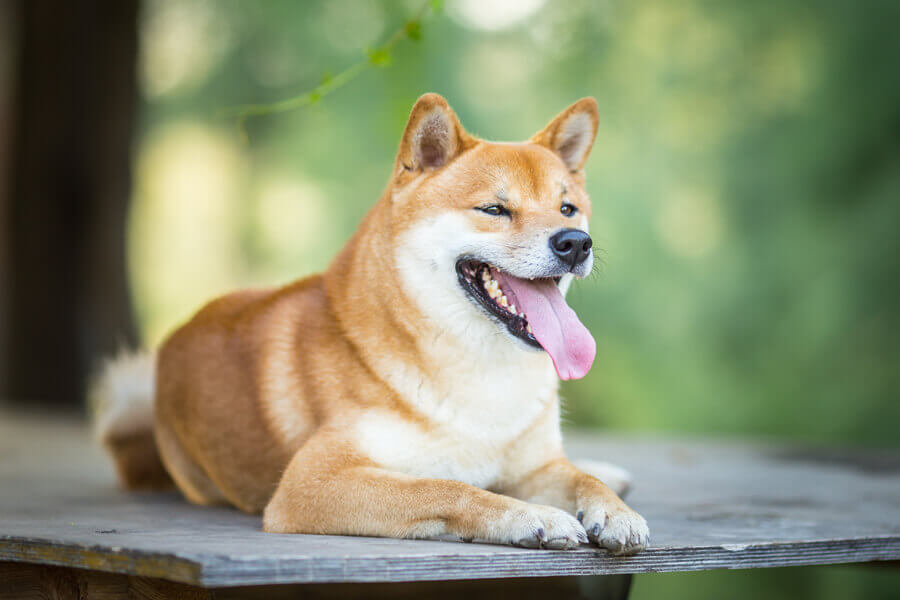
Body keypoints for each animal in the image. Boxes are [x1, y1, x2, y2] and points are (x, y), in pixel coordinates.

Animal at [95, 92, 652, 552]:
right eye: (495, 209)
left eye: (568, 208)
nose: (575, 243)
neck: (477, 373)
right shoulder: (314, 481)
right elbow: (446, 487)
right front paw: (532, 516)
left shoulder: (533, 465)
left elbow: (580, 480)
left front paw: (615, 511)